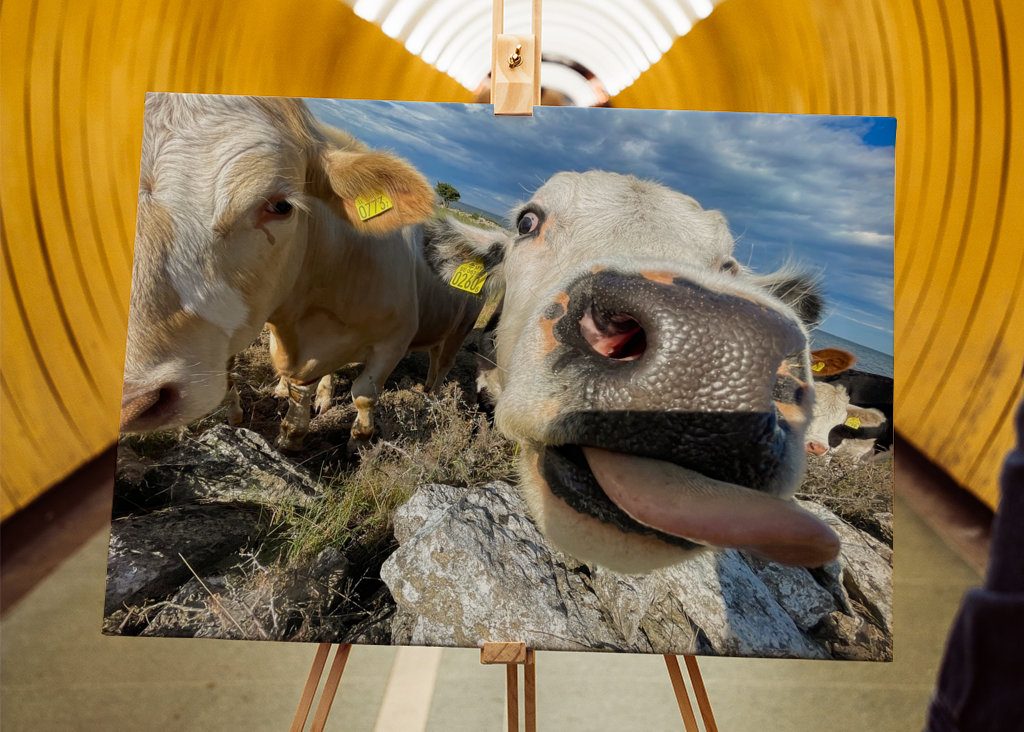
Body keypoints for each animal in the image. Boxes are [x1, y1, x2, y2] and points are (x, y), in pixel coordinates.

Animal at [119, 93, 482, 450]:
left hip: (460, 328)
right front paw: (291, 433)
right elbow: (300, 388)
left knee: (441, 364)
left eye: (282, 206)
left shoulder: (395, 339)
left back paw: (431, 398)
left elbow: (364, 395)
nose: (134, 401)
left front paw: (359, 443)